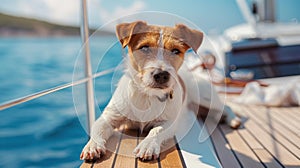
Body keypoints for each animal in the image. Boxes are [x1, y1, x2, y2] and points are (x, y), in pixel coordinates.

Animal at [80, 20, 241, 160]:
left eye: (175, 51)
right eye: (144, 47)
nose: (161, 74)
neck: (147, 95)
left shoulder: (169, 121)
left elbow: (156, 130)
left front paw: (147, 145)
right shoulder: (110, 116)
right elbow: (98, 127)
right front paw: (92, 145)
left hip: (205, 96)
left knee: (226, 106)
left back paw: (233, 120)